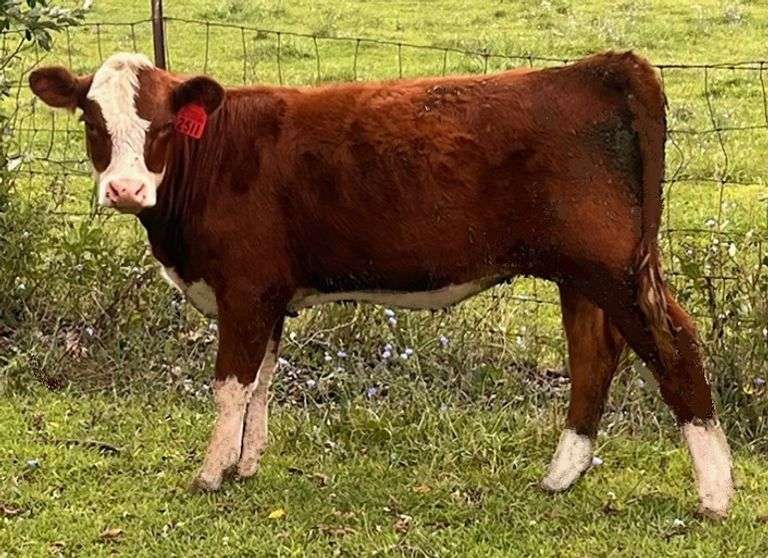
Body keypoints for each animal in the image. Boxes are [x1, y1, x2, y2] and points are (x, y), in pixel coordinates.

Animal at [29, 50, 734, 519]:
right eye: (92, 123)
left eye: (164, 127)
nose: (125, 190)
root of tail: (603, 65)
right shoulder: (270, 294)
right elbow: (262, 380)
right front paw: (245, 464)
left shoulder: (244, 288)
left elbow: (231, 383)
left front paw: (209, 473)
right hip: (580, 273)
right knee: (593, 356)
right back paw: (562, 476)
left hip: (615, 268)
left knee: (675, 348)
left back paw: (716, 494)